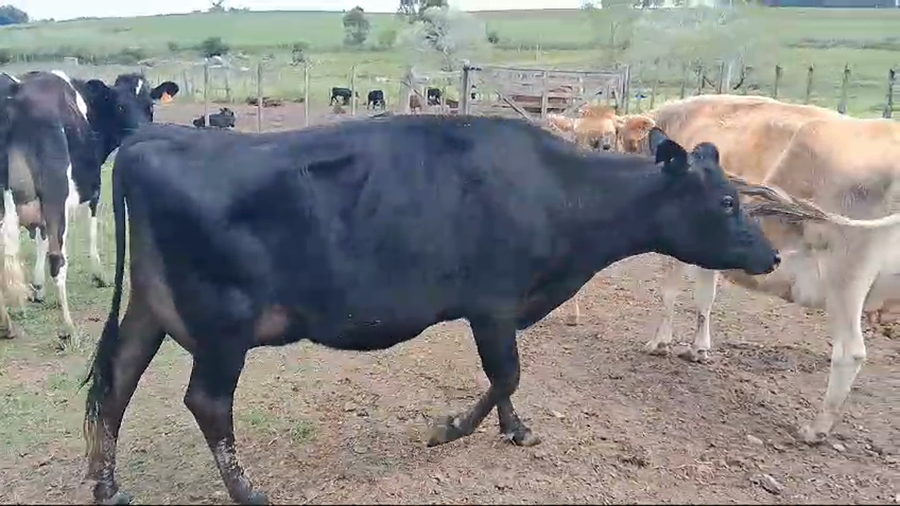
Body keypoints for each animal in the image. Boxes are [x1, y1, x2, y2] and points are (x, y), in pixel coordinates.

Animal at [0, 70, 179, 342]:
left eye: (150, 106)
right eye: (120, 106)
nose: (140, 136)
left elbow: (41, 236)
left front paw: (38, 288)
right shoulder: (93, 187)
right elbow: (92, 225)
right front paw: (99, 274)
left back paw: (7, 324)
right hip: (55, 190)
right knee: (57, 259)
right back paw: (67, 327)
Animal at [81, 113, 783, 505]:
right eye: (726, 202)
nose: (773, 255)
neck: (561, 193)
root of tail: (148, 140)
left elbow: (507, 381)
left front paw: (514, 428)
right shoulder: (493, 304)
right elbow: (506, 374)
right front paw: (451, 428)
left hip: (150, 309)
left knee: (116, 382)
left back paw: (106, 484)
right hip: (225, 324)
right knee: (206, 402)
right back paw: (246, 491)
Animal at [584, 94, 900, 445]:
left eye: (607, 140)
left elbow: (669, 293)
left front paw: (659, 343)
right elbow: (705, 298)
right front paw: (699, 348)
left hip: (846, 276)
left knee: (849, 352)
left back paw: (816, 428)